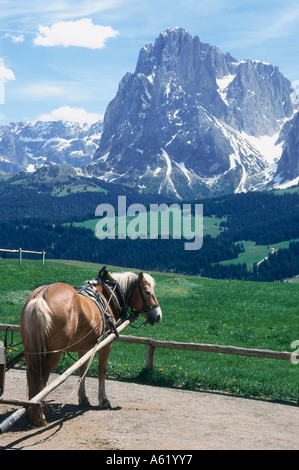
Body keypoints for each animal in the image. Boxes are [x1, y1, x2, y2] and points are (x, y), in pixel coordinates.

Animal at [20, 268, 163, 426]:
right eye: (147, 292)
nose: (158, 315)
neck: (109, 295)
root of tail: (40, 297)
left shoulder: (83, 347)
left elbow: (82, 371)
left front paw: (83, 398)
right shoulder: (106, 344)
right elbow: (102, 371)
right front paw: (103, 400)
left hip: (30, 349)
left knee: (32, 375)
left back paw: (31, 411)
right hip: (54, 353)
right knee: (43, 377)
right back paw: (39, 415)